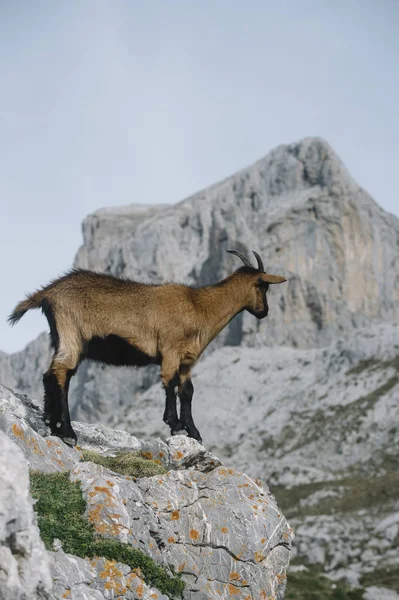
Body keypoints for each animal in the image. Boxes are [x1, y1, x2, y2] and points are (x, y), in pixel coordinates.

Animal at [7, 248, 286, 446]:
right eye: (263, 286)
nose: (264, 312)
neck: (198, 306)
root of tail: (48, 293)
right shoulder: (171, 352)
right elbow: (170, 384)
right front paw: (175, 424)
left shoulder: (187, 360)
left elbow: (187, 391)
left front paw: (194, 432)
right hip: (72, 334)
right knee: (63, 373)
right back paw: (67, 431)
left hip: (61, 337)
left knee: (50, 373)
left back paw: (50, 422)